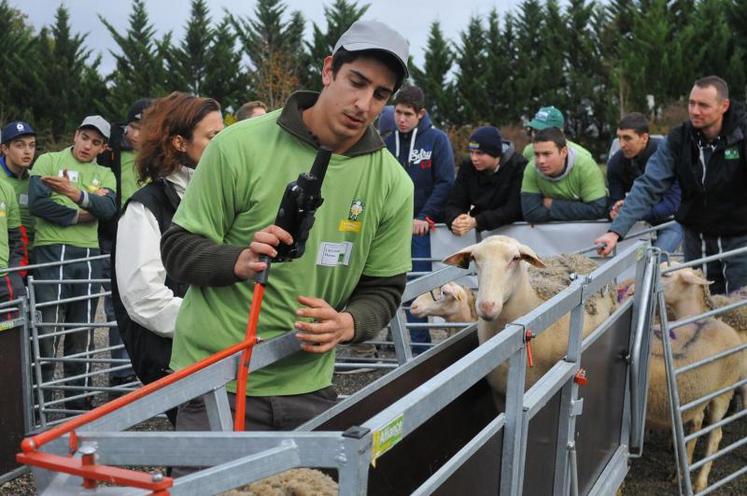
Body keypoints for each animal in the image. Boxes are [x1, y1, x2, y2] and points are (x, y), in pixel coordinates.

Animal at [648, 264, 747, 492]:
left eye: (667, 274)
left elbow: (694, 429)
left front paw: (680, 471)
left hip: (726, 392)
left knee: (716, 435)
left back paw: (701, 482)